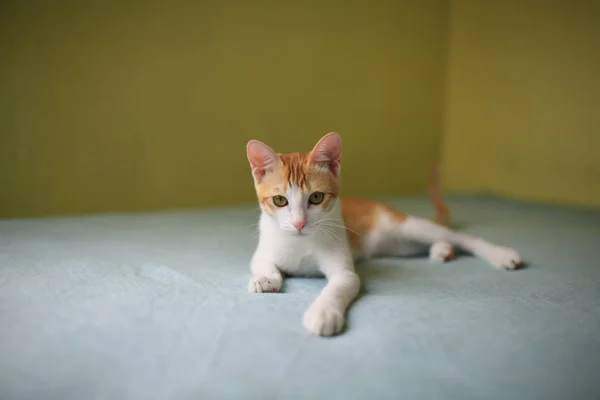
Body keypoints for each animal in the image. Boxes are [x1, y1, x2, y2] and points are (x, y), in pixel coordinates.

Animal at [246, 133, 524, 336]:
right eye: (280, 200)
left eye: (316, 197)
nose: (299, 223)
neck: (300, 244)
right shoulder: (264, 250)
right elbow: (262, 263)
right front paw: (265, 279)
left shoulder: (345, 273)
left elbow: (337, 287)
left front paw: (323, 314)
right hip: (398, 246)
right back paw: (442, 249)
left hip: (405, 228)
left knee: (462, 237)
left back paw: (500, 254)